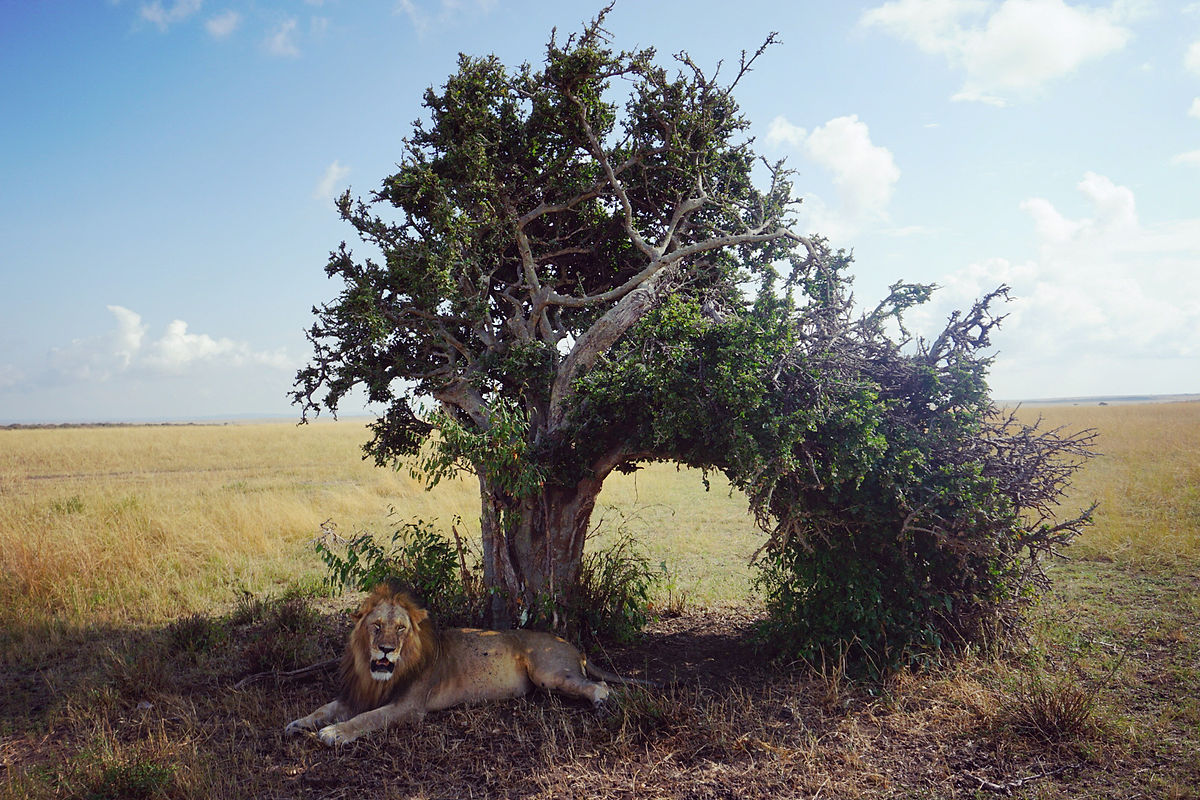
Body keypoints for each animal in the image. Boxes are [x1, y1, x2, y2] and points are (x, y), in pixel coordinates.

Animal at [284, 584, 656, 746]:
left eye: (401, 628)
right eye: (376, 625)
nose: (387, 650)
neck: (379, 676)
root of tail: (572, 644)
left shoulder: (408, 707)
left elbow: (365, 719)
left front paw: (333, 733)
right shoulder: (356, 694)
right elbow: (324, 708)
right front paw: (299, 723)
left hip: (550, 673)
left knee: (601, 685)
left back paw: (601, 704)